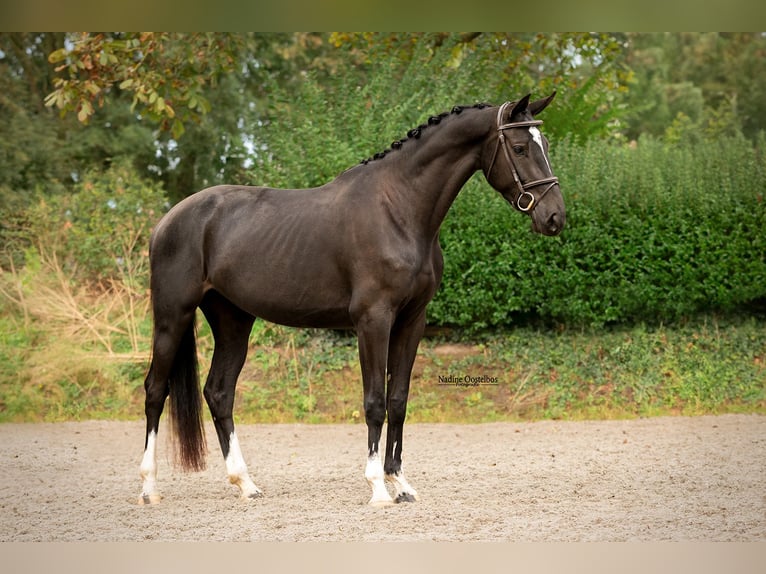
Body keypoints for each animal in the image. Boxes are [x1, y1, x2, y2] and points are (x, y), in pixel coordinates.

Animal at [141, 93, 568, 508]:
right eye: (519, 147)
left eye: (545, 144)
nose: (554, 217)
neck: (398, 209)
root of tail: (168, 220)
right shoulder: (373, 320)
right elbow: (374, 401)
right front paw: (378, 488)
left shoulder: (412, 321)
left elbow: (398, 399)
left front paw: (401, 484)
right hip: (173, 317)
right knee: (155, 391)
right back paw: (149, 489)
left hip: (233, 321)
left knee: (219, 393)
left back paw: (246, 484)